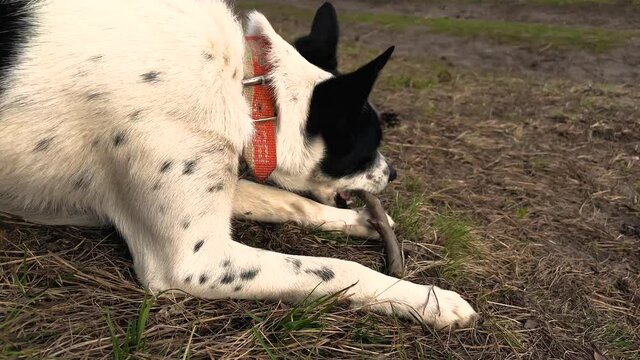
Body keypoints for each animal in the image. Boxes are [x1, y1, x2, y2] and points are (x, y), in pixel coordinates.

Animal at [0, 0, 478, 330]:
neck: (247, 86)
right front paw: (430, 300)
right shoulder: (198, 260)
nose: (392, 173)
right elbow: (336, 269)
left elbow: (287, 201)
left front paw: (358, 220)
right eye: (368, 147)